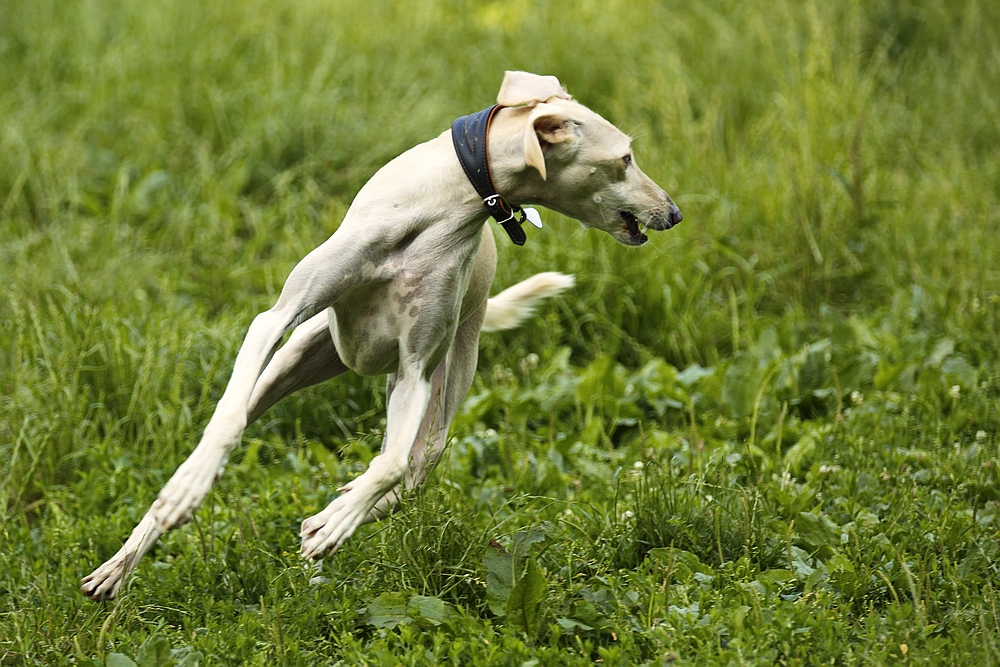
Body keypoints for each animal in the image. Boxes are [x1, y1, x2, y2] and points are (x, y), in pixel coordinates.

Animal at [82, 72, 684, 600]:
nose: (675, 213)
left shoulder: (416, 370)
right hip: (298, 357)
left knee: (403, 475)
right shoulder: (277, 320)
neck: (449, 203)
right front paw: (187, 491)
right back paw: (124, 560)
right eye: (625, 159)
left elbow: (389, 465)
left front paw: (334, 522)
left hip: (436, 401)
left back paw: (332, 517)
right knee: (248, 415)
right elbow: (228, 416)